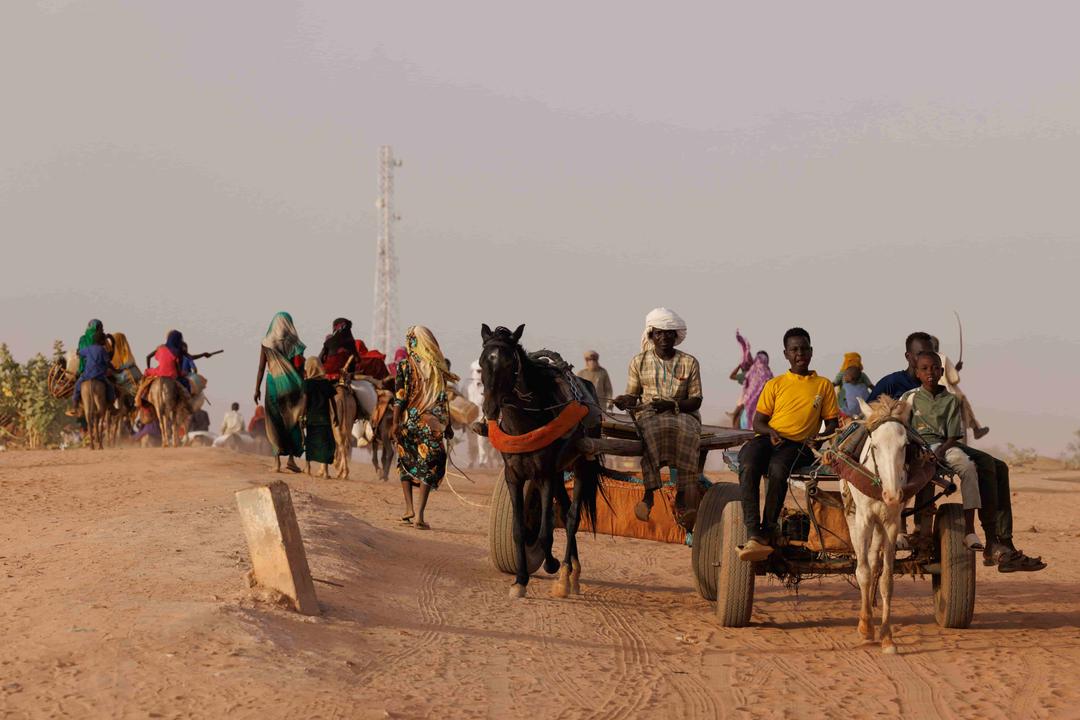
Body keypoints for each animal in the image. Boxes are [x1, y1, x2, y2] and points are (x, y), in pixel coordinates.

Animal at [479, 323, 604, 600]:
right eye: (482, 362)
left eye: (508, 363)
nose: (490, 409)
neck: (526, 423)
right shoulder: (514, 476)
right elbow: (518, 531)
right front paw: (520, 580)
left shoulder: (544, 474)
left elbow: (546, 532)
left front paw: (552, 564)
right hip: (559, 472)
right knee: (564, 511)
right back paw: (572, 573)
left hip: (581, 464)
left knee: (572, 517)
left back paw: (566, 576)